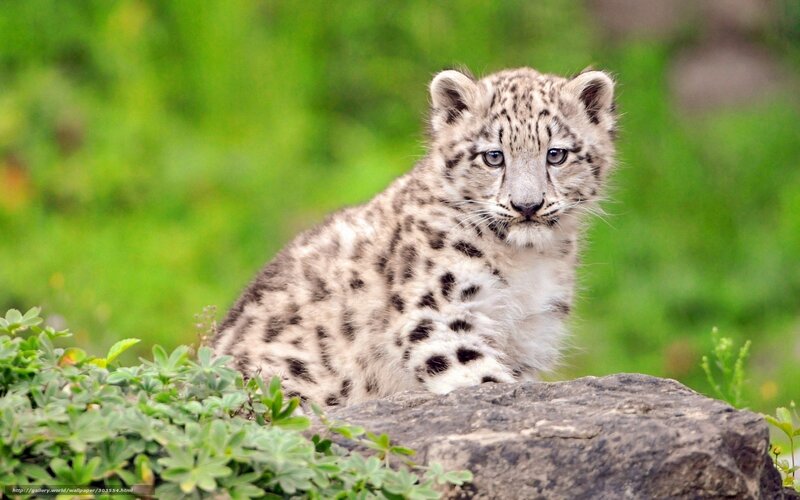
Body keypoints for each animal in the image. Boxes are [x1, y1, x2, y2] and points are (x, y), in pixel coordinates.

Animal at [212, 66, 618, 406]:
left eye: (556, 154)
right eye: (493, 156)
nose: (527, 205)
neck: (527, 263)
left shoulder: (531, 332)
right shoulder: (438, 314)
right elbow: (478, 374)